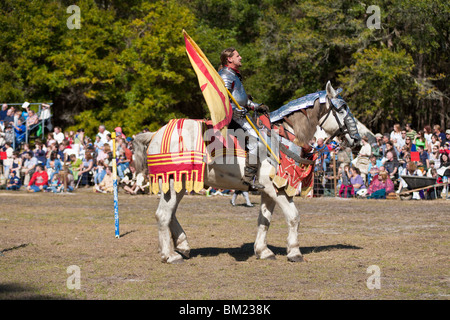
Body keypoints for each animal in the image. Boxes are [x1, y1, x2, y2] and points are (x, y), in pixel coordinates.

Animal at [133, 81, 358, 264]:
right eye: (342, 109)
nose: (356, 138)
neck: (284, 136)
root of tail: (155, 134)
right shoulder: (276, 188)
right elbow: (294, 216)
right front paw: (294, 252)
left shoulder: (269, 191)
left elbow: (264, 220)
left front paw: (263, 251)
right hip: (172, 182)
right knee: (163, 214)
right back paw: (170, 255)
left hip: (179, 184)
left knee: (170, 214)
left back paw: (183, 246)